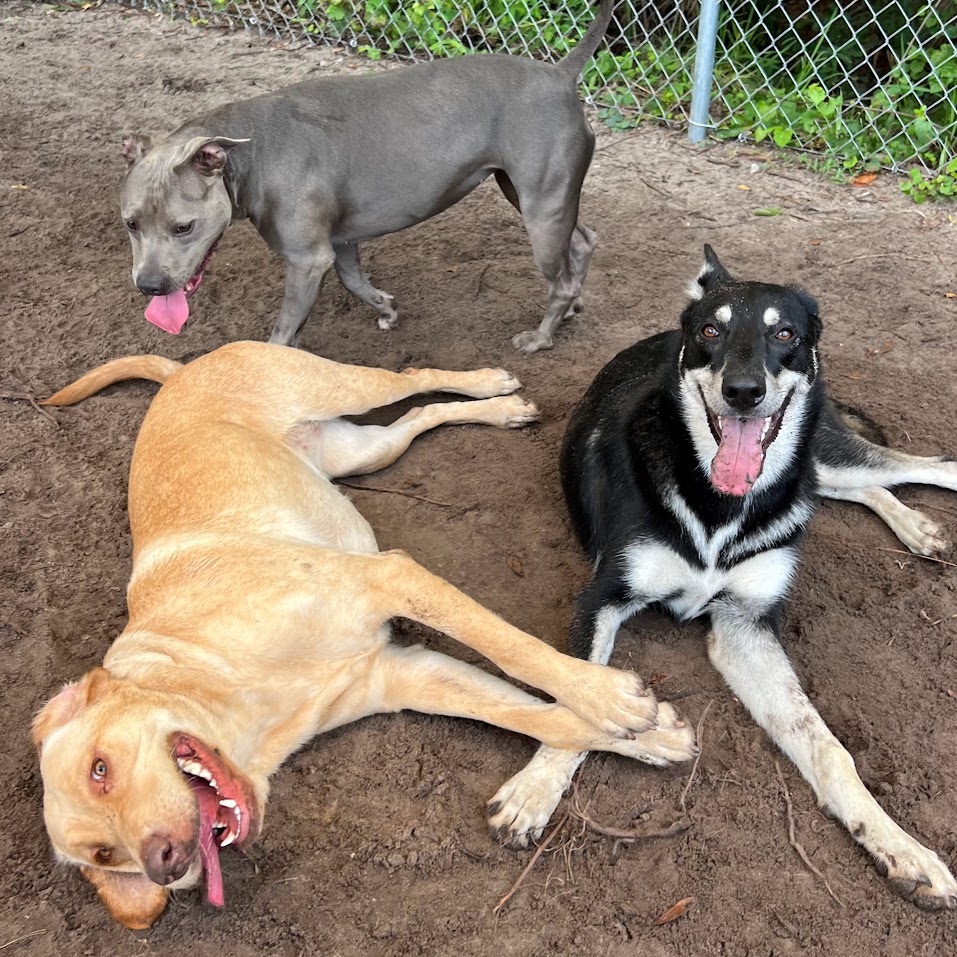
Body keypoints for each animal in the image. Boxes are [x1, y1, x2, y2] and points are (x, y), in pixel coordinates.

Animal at [35, 342, 696, 928]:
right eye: (104, 854)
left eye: (100, 768)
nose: (164, 865)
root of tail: (178, 375)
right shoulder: (410, 675)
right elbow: (540, 717)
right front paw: (654, 736)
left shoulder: (388, 578)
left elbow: (519, 651)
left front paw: (608, 696)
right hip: (361, 453)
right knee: (418, 418)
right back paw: (498, 410)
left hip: (341, 389)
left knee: (410, 377)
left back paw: (490, 387)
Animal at [119, 0, 612, 352]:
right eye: (130, 224)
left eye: (184, 227)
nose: (148, 286)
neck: (248, 153)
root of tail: (560, 73)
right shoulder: (340, 242)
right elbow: (354, 281)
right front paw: (387, 310)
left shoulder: (307, 259)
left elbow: (283, 332)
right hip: (530, 194)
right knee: (583, 241)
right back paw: (573, 309)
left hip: (540, 211)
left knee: (561, 278)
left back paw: (541, 338)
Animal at [490, 243, 952, 908]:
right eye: (712, 330)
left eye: (784, 334)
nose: (743, 391)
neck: (720, 507)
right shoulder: (603, 596)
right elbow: (580, 698)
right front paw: (533, 792)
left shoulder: (746, 626)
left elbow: (827, 745)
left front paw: (902, 846)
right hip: (825, 467)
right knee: (864, 485)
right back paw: (915, 526)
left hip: (823, 452)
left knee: (920, 466)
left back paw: (915, 523)